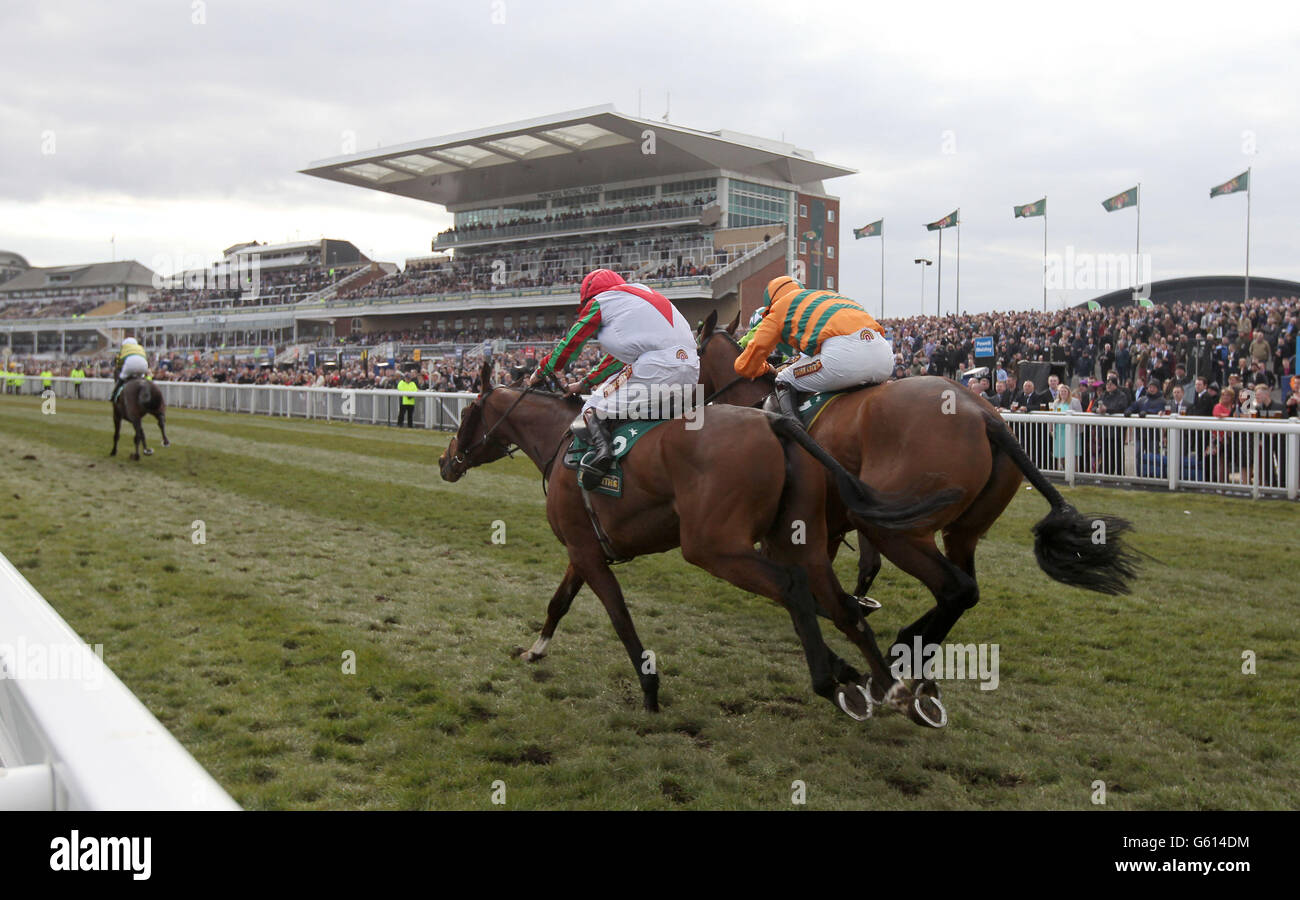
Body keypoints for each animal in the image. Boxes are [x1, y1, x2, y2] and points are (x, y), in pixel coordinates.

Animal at [436, 361, 956, 723]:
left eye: (464, 413)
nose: (445, 462)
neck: (562, 443)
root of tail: (775, 423)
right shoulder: (584, 551)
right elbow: (558, 602)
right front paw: (535, 649)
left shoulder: (586, 553)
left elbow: (619, 618)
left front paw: (649, 690)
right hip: (801, 541)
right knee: (839, 604)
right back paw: (892, 689)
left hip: (713, 547)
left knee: (792, 588)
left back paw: (830, 682)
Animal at [702, 313, 1138, 676]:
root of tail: (985, 416)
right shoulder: (846, 515)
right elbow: (863, 567)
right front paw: (855, 604)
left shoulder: (818, 521)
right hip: (954, 530)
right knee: (964, 588)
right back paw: (909, 646)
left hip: (900, 530)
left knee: (956, 588)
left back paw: (904, 652)